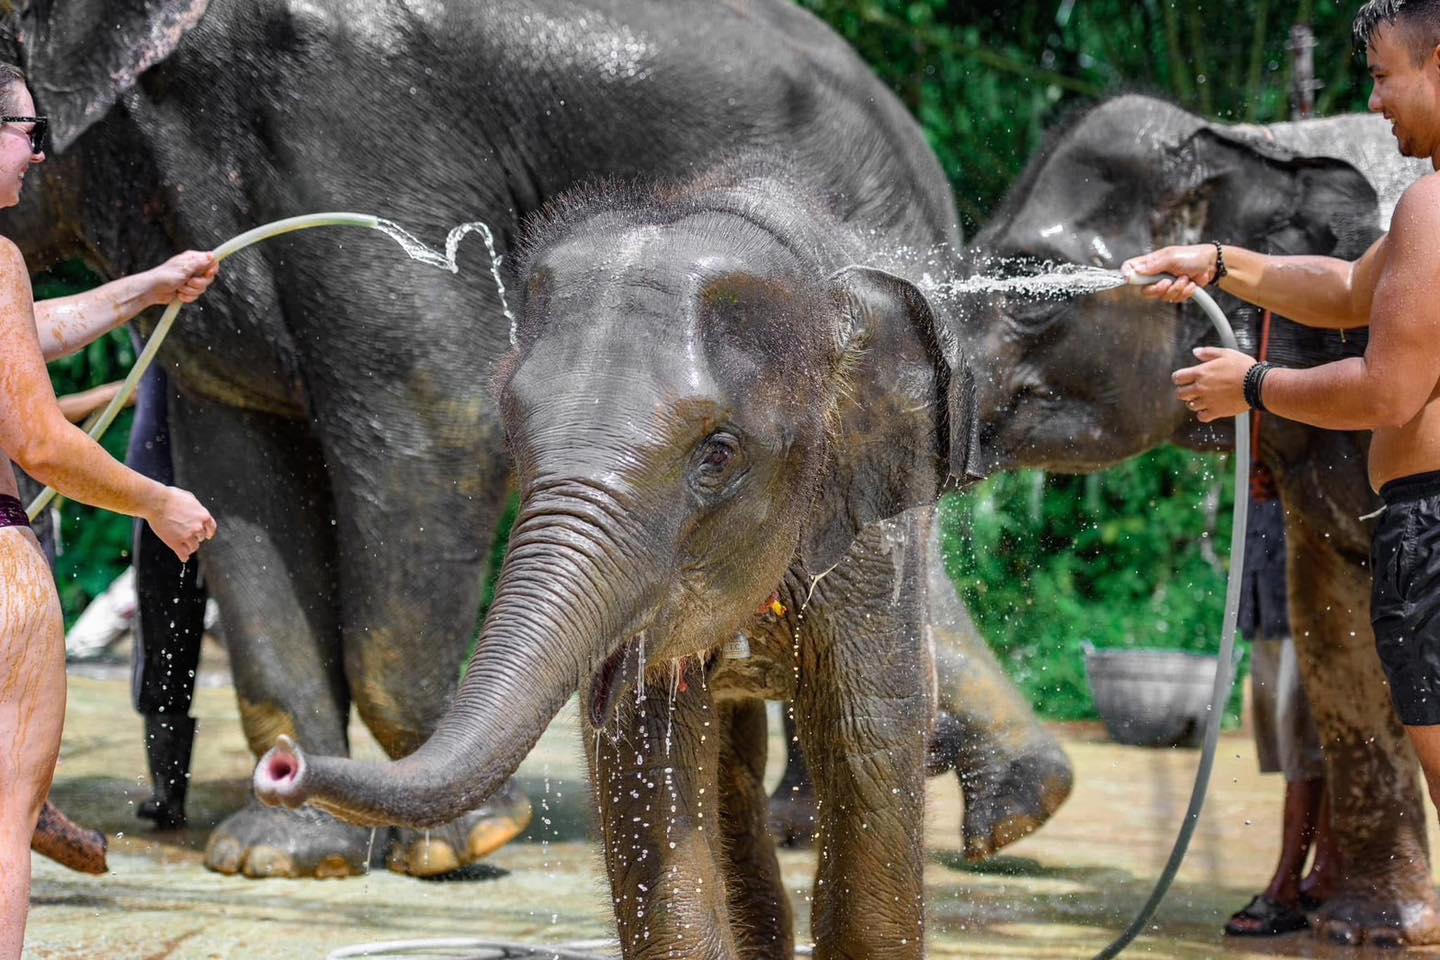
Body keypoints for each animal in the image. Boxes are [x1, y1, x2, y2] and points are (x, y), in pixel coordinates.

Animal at [0, 0, 1066, 880]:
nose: (283, 773)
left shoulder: (348, 132)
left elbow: (437, 418)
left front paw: (463, 845)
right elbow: (240, 472)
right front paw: (280, 855)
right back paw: (934, 814)